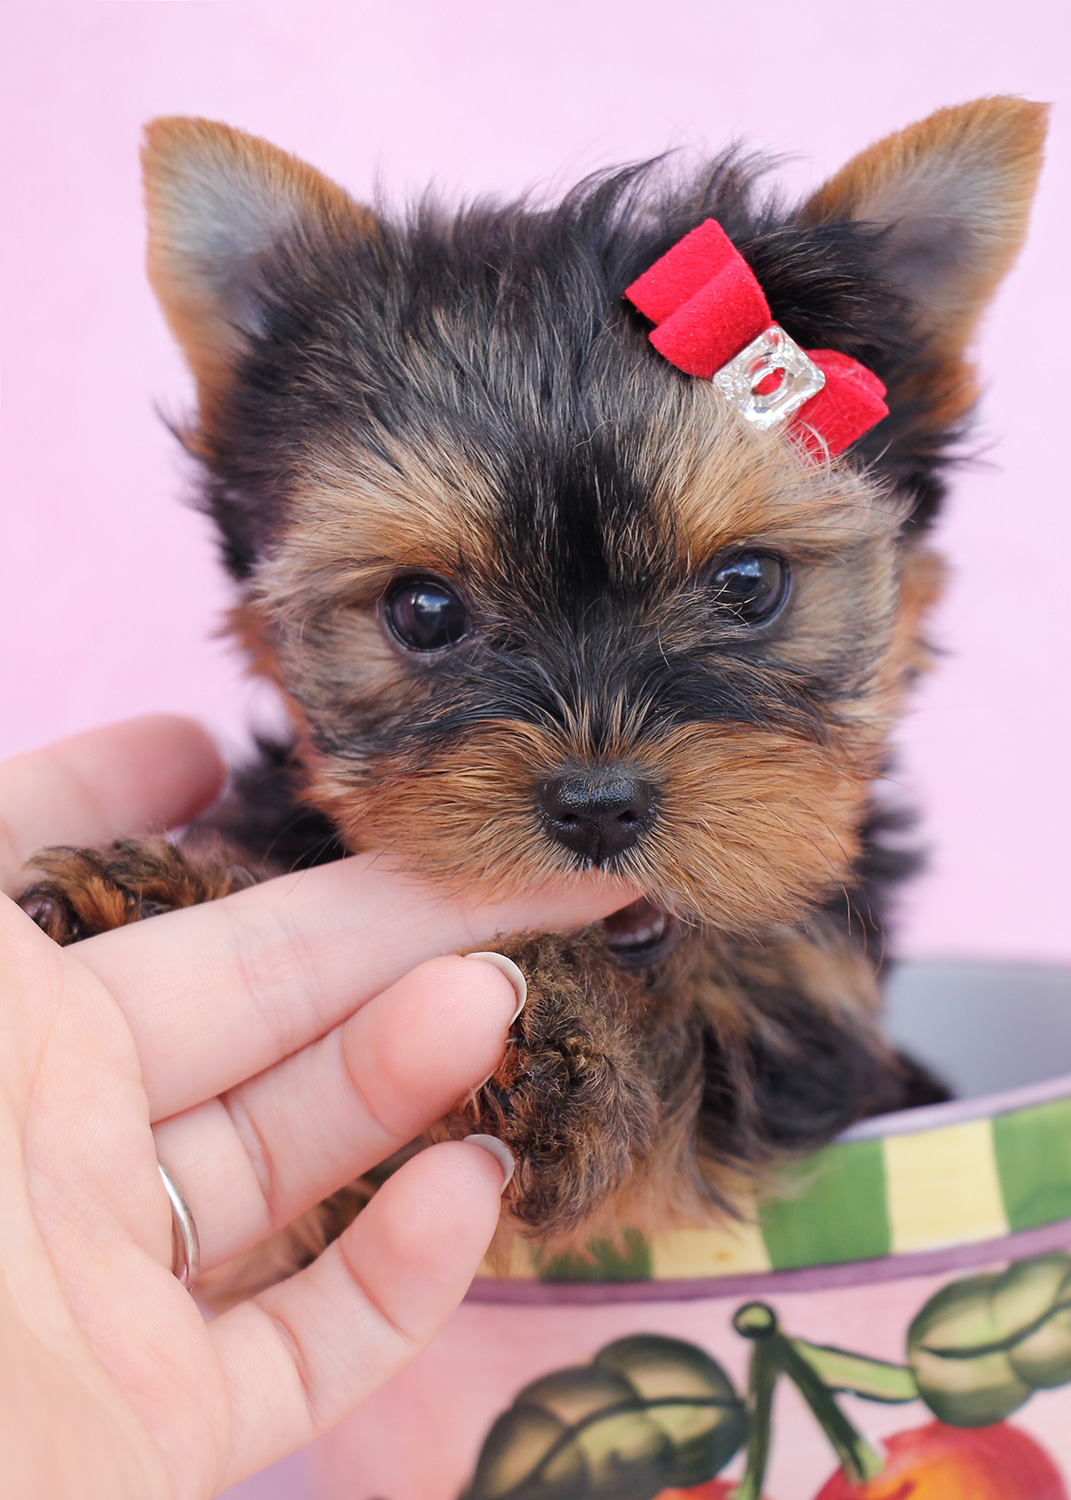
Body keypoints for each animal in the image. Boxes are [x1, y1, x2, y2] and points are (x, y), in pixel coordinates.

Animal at [22, 96, 1044, 1266]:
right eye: (423, 611)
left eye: (748, 583)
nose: (598, 804)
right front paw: (152, 901)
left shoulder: (802, 1014)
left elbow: (697, 1048)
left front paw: (561, 1039)